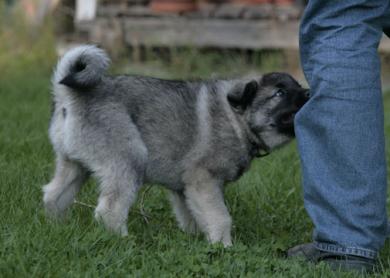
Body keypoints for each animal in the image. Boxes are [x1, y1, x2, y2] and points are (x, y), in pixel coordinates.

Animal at [43, 45, 308, 245]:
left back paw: (57, 226)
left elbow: (194, 215)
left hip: (74, 165)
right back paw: (124, 241)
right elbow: (221, 217)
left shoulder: (186, 188)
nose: (308, 93)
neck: (238, 118)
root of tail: (70, 97)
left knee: (53, 194)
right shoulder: (204, 180)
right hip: (128, 160)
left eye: (296, 86)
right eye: (280, 93)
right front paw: (224, 247)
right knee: (110, 209)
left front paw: (197, 240)